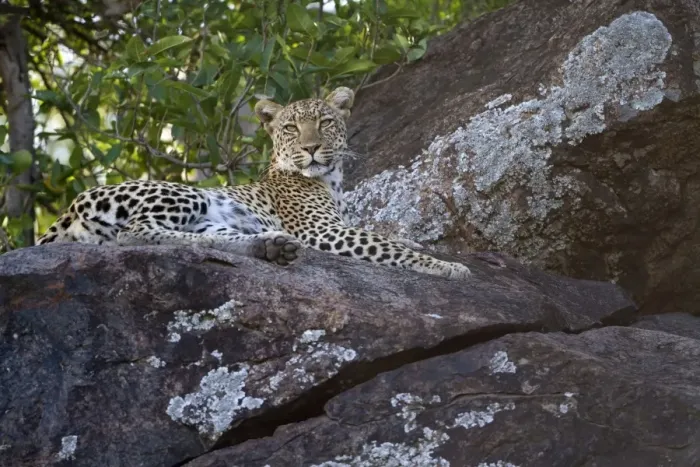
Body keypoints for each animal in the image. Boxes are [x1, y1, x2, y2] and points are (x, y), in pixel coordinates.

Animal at [36, 87, 471, 280]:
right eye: (291, 128)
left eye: (325, 122)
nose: (312, 148)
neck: (331, 180)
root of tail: (69, 209)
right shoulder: (322, 232)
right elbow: (384, 244)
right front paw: (446, 266)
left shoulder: (337, 226)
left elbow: (386, 235)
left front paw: (424, 246)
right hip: (185, 194)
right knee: (135, 232)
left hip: (210, 220)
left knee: (209, 240)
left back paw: (269, 246)